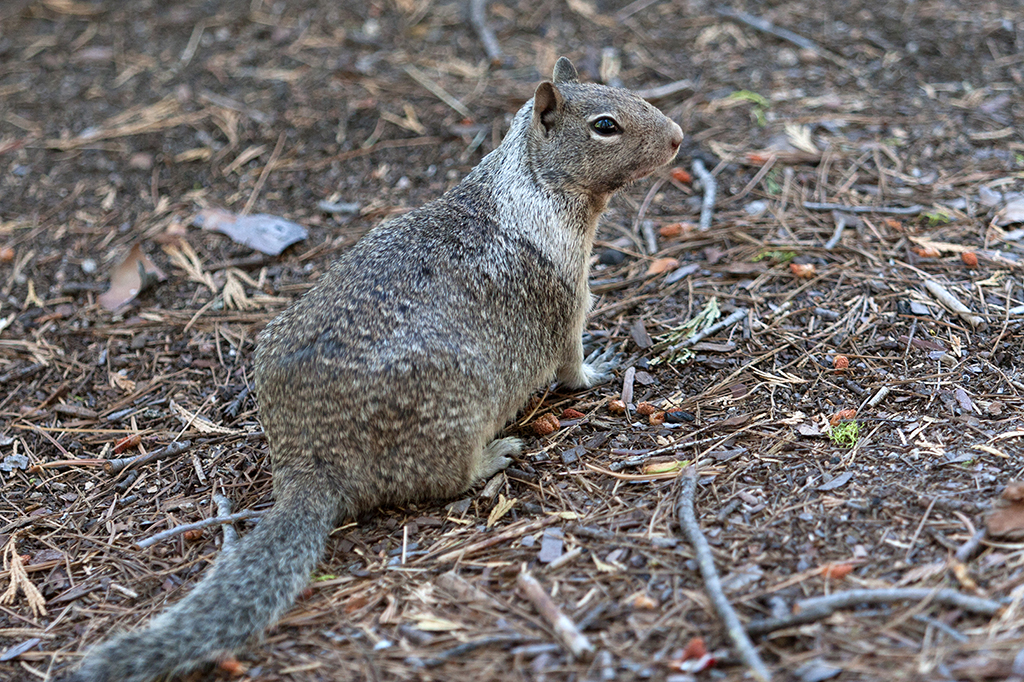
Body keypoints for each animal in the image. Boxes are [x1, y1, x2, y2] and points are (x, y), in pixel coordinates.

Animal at [70, 58, 679, 679]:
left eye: (627, 91)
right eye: (605, 126)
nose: (678, 137)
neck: (530, 186)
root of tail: (310, 460)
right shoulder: (568, 303)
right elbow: (571, 365)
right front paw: (600, 370)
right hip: (455, 414)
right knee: (444, 478)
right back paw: (495, 456)